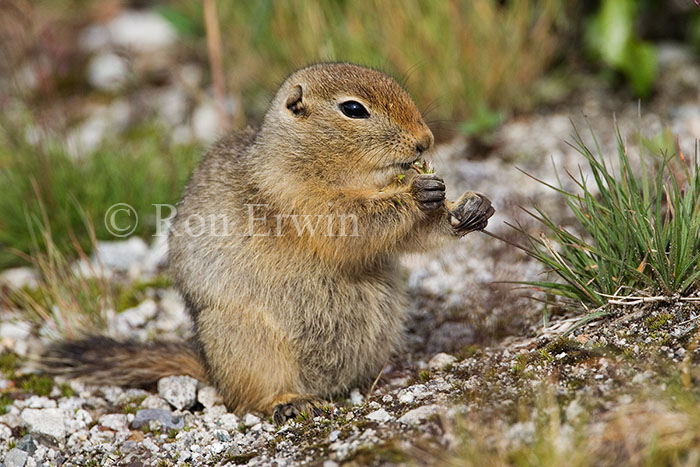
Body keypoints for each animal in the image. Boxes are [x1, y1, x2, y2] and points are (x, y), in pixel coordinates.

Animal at [45, 63, 492, 424]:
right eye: (353, 109)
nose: (425, 140)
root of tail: (210, 369)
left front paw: (470, 207)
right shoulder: (295, 195)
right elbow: (350, 222)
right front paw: (416, 192)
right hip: (247, 343)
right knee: (247, 399)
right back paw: (291, 402)